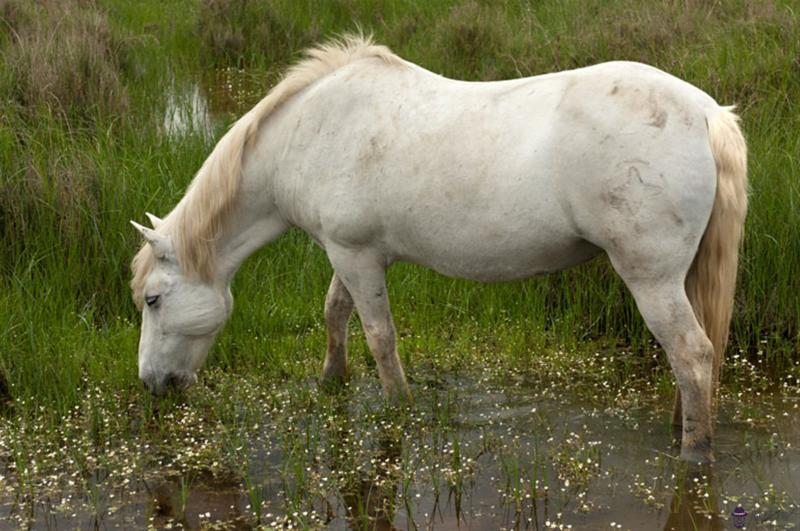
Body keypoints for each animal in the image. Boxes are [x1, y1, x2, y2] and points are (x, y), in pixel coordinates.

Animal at [131, 35, 752, 464]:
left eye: (153, 299)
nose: (153, 385)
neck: (311, 130)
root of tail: (706, 112)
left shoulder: (355, 255)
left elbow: (380, 338)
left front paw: (398, 409)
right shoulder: (345, 252)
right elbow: (335, 314)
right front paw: (330, 382)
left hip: (650, 277)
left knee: (692, 355)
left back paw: (694, 453)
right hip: (682, 276)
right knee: (697, 357)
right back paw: (683, 426)